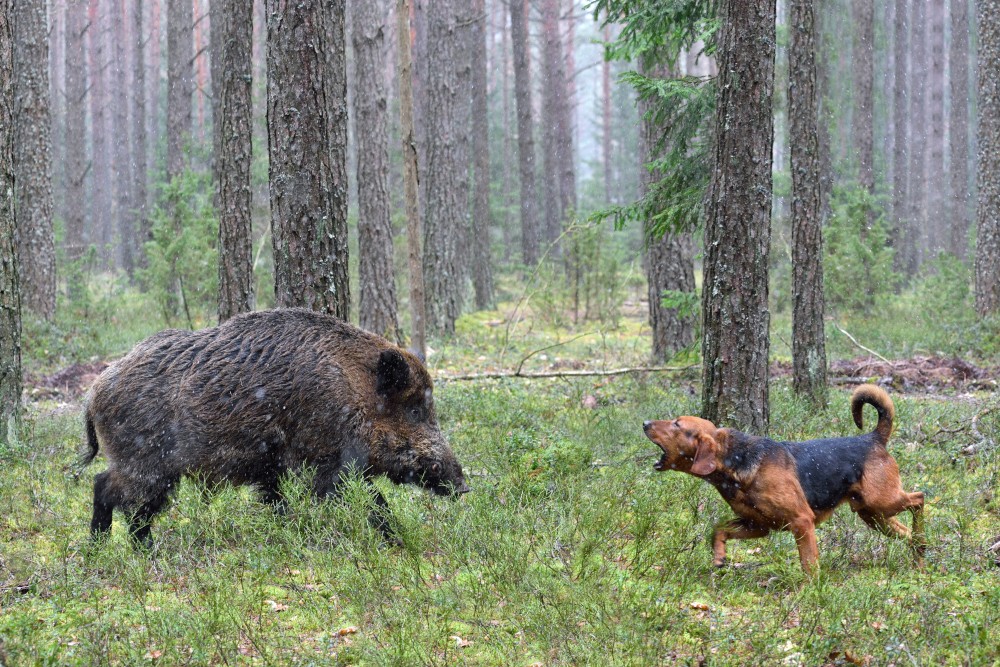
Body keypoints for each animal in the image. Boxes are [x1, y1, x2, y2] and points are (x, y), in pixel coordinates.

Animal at [644, 386, 924, 576]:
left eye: (677, 424)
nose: (645, 422)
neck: (736, 461)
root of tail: (874, 438)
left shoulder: (801, 521)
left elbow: (809, 565)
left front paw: (812, 593)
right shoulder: (758, 525)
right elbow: (719, 528)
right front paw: (719, 557)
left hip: (882, 502)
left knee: (919, 498)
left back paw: (922, 541)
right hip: (873, 515)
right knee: (908, 532)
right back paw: (919, 557)